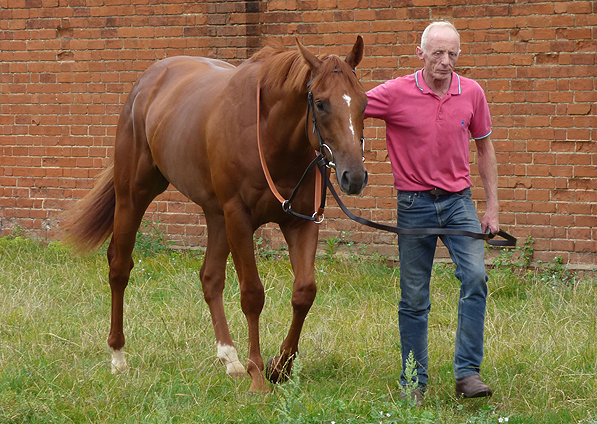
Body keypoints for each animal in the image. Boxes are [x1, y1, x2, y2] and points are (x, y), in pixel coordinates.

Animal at [60, 38, 368, 392]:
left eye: (364, 102)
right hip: (134, 195)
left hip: (215, 214)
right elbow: (252, 295)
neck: (269, 135)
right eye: (320, 103)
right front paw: (258, 375)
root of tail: (147, 81)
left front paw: (280, 367)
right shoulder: (238, 217)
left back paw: (230, 359)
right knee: (119, 267)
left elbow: (304, 292)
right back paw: (118, 357)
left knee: (210, 277)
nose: (354, 176)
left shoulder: (300, 222)